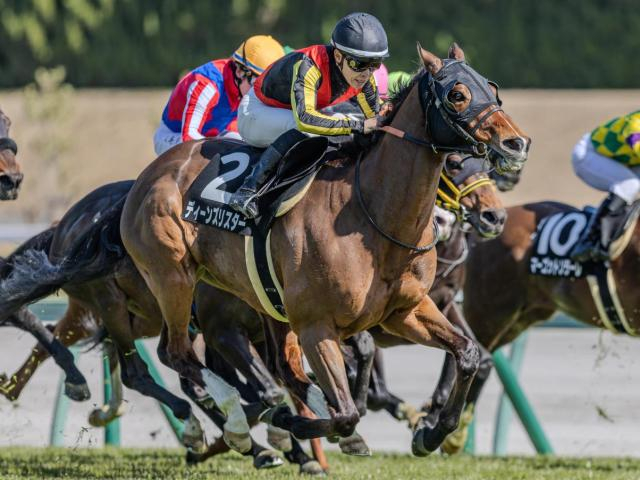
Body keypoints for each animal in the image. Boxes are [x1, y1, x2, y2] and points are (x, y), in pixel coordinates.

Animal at [119, 43, 529, 455]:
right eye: (457, 95)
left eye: (492, 89)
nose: (517, 143)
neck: (372, 217)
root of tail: (151, 174)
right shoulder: (317, 326)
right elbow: (347, 412)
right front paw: (295, 421)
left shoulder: (407, 310)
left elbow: (468, 354)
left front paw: (431, 433)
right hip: (174, 279)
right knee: (177, 354)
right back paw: (239, 425)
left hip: (264, 301)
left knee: (278, 369)